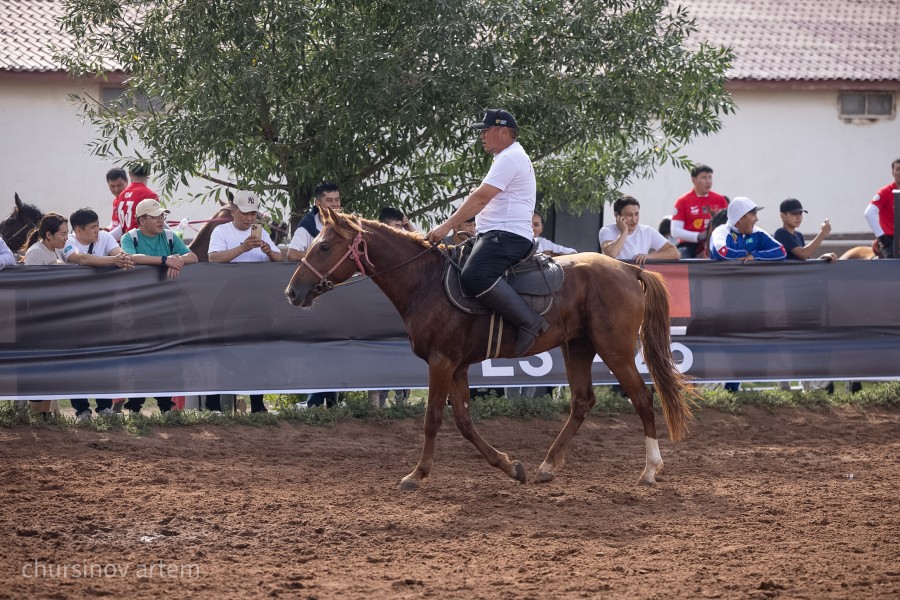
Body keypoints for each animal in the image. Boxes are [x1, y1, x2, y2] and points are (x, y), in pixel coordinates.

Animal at [284, 209, 692, 490]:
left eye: (324, 246)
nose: (292, 291)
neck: (426, 282)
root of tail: (628, 269)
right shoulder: (458, 366)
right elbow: (464, 422)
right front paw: (510, 466)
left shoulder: (441, 361)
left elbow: (433, 419)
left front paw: (417, 474)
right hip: (577, 347)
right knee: (582, 402)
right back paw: (548, 465)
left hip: (615, 349)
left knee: (642, 397)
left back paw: (650, 469)